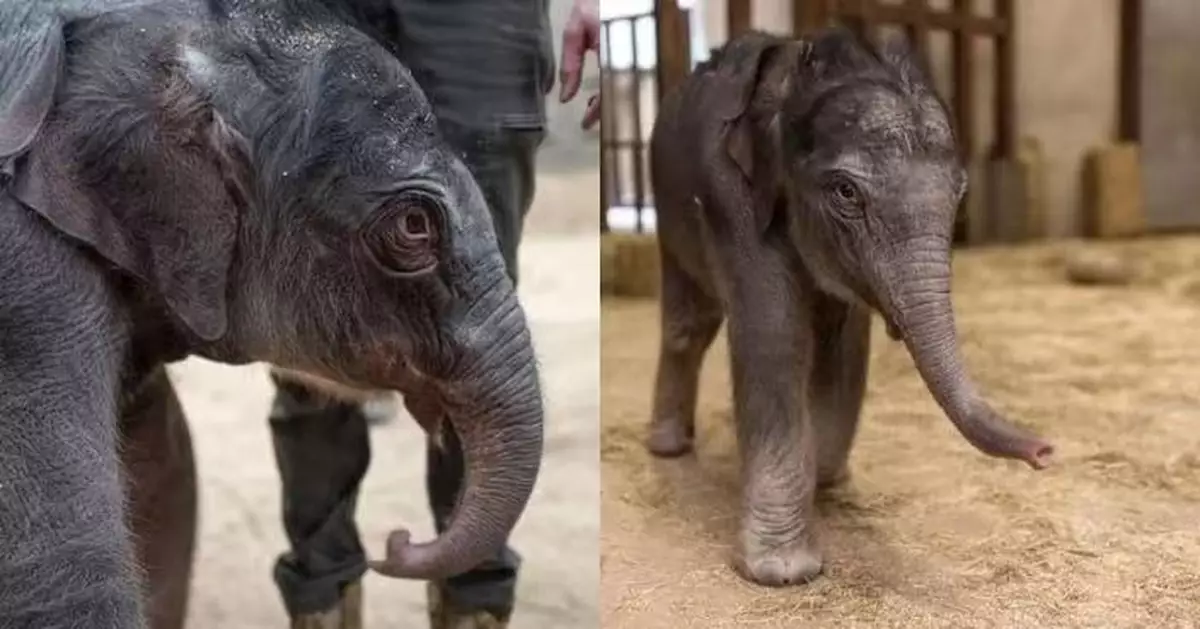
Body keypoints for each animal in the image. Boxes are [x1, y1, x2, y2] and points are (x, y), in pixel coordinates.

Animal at [645, 28, 1054, 586]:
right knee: (690, 324)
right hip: (667, 210)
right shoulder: (731, 197)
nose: (1044, 452)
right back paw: (667, 450)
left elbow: (842, 343)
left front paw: (826, 478)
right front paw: (782, 572)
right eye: (844, 192)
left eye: (960, 194)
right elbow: (776, 333)